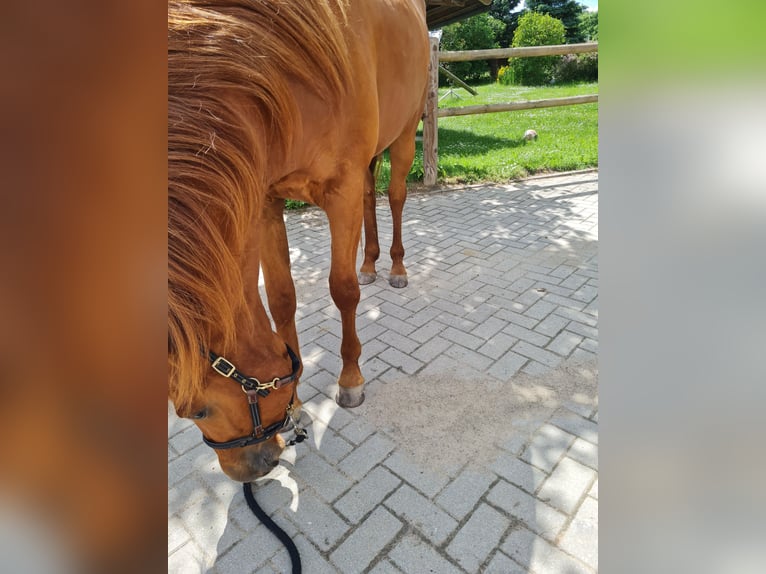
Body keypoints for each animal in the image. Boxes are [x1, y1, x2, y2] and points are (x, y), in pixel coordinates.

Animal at [168, 0, 429, 482]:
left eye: (196, 411)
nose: (248, 470)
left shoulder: (340, 192)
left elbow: (341, 290)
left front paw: (350, 380)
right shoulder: (266, 201)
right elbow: (281, 298)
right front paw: (299, 401)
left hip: (404, 137)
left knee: (396, 196)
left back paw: (396, 267)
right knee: (372, 198)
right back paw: (370, 264)